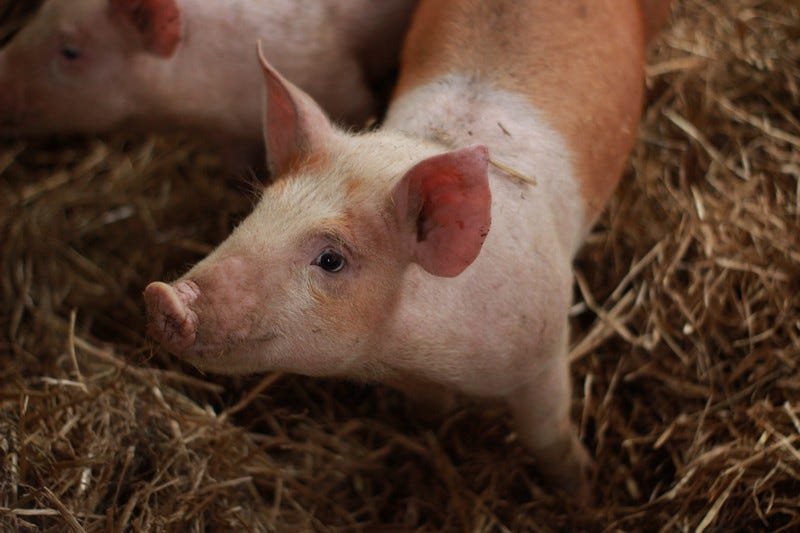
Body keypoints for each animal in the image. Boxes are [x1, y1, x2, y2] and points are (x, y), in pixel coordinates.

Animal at [142, 0, 668, 498]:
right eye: (257, 211)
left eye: (331, 259)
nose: (162, 296)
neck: (427, 355)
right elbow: (428, 407)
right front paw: (432, 429)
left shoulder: (544, 350)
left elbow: (549, 438)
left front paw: (582, 492)